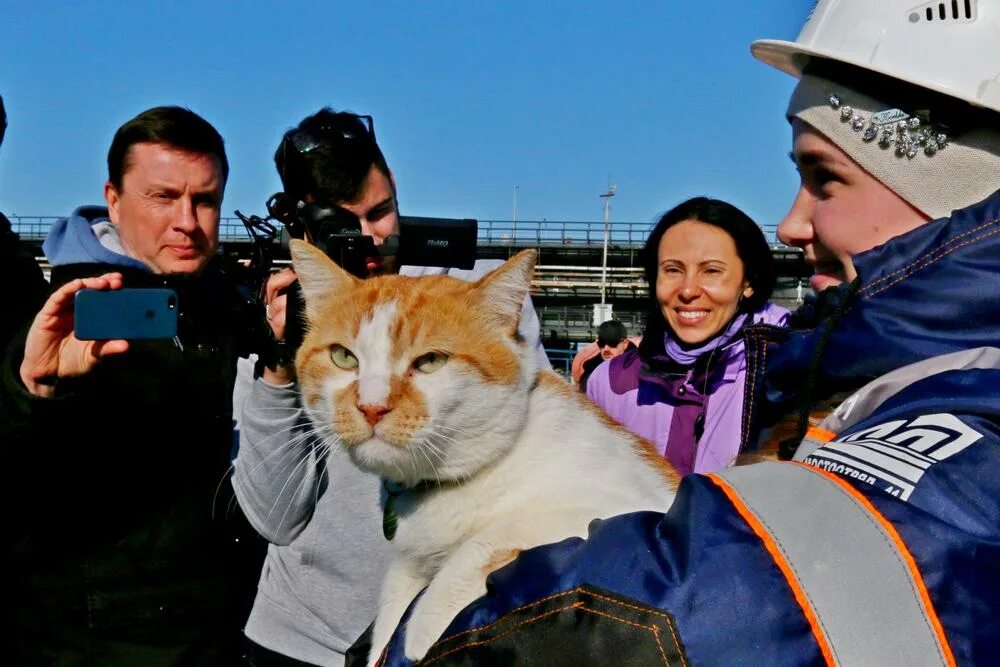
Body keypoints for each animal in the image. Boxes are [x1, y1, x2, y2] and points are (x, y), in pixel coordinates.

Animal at [290, 241, 680, 667]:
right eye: (343, 357)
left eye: (431, 361)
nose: (371, 406)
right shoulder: (409, 563)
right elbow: (393, 601)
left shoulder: (626, 508)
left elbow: (487, 541)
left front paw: (424, 627)